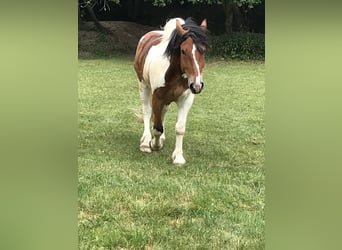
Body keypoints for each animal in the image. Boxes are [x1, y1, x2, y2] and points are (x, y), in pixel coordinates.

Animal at [134, 18, 208, 166]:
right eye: (183, 51)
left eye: (203, 50)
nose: (197, 85)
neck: (174, 74)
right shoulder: (157, 97)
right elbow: (157, 127)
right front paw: (154, 144)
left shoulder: (186, 100)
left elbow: (179, 128)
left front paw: (178, 156)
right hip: (143, 86)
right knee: (147, 112)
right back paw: (146, 142)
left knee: (163, 113)